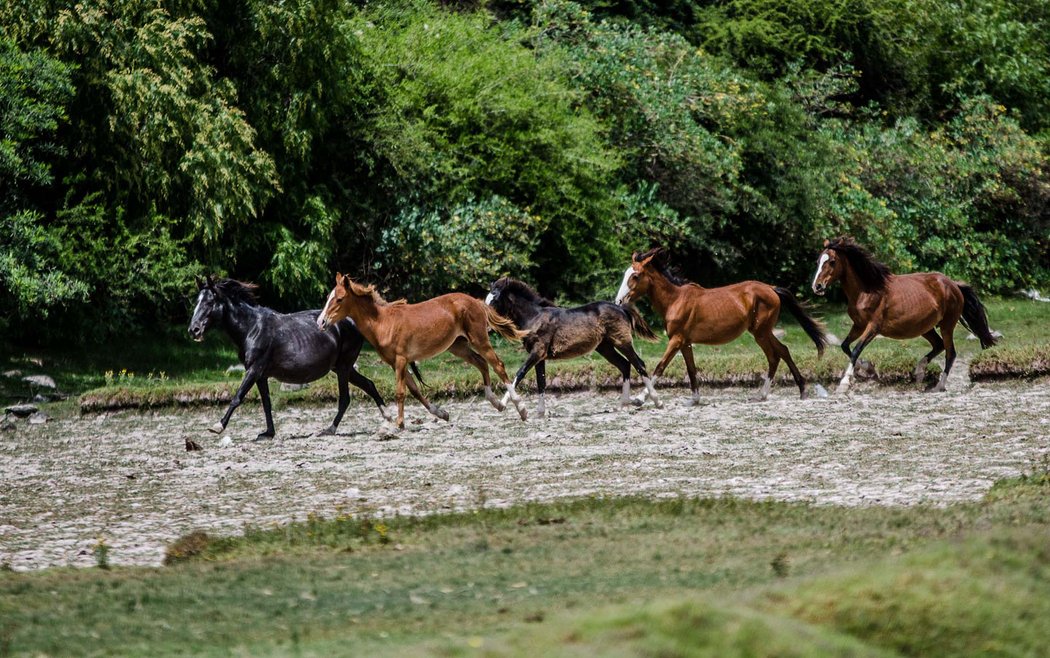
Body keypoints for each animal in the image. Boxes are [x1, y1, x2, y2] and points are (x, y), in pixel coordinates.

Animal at [186, 274, 403, 440]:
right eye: (196, 302)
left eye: (209, 301)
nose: (193, 330)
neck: (252, 328)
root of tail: (352, 320)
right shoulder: (261, 375)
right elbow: (266, 403)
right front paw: (268, 433)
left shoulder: (254, 370)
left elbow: (237, 397)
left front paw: (218, 426)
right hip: (343, 368)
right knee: (368, 385)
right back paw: (388, 418)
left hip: (343, 367)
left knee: (345, 398)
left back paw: (329, 430)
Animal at [315, 274, 529, 432]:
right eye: (327, 298)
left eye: (339, 299)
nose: (321, 322)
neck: (384, 323)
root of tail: (476, 301)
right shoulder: (395, 363)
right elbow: (415, 390)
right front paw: (442, 414)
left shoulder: (401, 360)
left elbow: (400, 392)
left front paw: (399, 424)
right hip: (458, 347)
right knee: (482, 363)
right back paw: (497, 403)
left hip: (479, 340)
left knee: (498, 365)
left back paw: (521, 409)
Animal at [485, 277, 663, 417]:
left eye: (495, 299)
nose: (486, 324)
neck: (534, 317)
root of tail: (621, 308)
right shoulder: (540, 357)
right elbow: (541, 381)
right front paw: (540, 412)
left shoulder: (538, 351)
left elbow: (520, 373)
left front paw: (504, 405)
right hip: (605, 348)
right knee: (625, 365)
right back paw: (622, 405)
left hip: (622, 342)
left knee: (639, 364)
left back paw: (655, 401)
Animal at [613, 249, 827, 405]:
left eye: (636, 276)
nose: (618, 301)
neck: (675, 300)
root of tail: (772, 289)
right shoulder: (686, 343)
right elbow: (691, 369)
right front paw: (695, 399)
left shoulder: (676, 340)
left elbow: (660, 366)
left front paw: (640, 398)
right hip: (762, 332)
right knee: (782, 351)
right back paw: (791, 391)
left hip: (761, 333)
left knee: (775, 355)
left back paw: (772, 393)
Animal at [806, 237, 995, 394]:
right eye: (818, 261)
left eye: (832, 262)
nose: (817, 287)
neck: (867, 290)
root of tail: (954, 285)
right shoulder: (859, 325)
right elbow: (846, 346)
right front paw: (868, 369)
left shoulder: (873, 327)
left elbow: (856, 349)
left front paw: (844, 384)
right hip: (925, 327)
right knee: (939, 345)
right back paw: (919, 372)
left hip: (947, 325)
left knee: (950, 352)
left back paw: (938, 386)